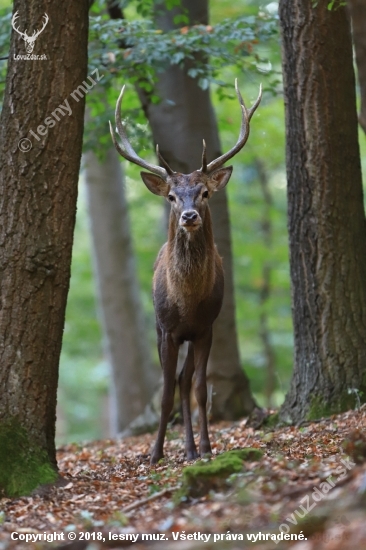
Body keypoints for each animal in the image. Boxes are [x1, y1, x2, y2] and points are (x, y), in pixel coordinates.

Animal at [108, 78, 260, 466]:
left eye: (204, 192)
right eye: (172, 196)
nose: (189, 216)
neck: (188, 301)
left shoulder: (206, 328)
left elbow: (200, 389)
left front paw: (205, 448)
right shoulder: (167, 329)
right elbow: (164, 393)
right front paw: (154, 453)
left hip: (193, 336)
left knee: (185, 379)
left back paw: (191, 449)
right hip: (163, 329)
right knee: (174, 381)